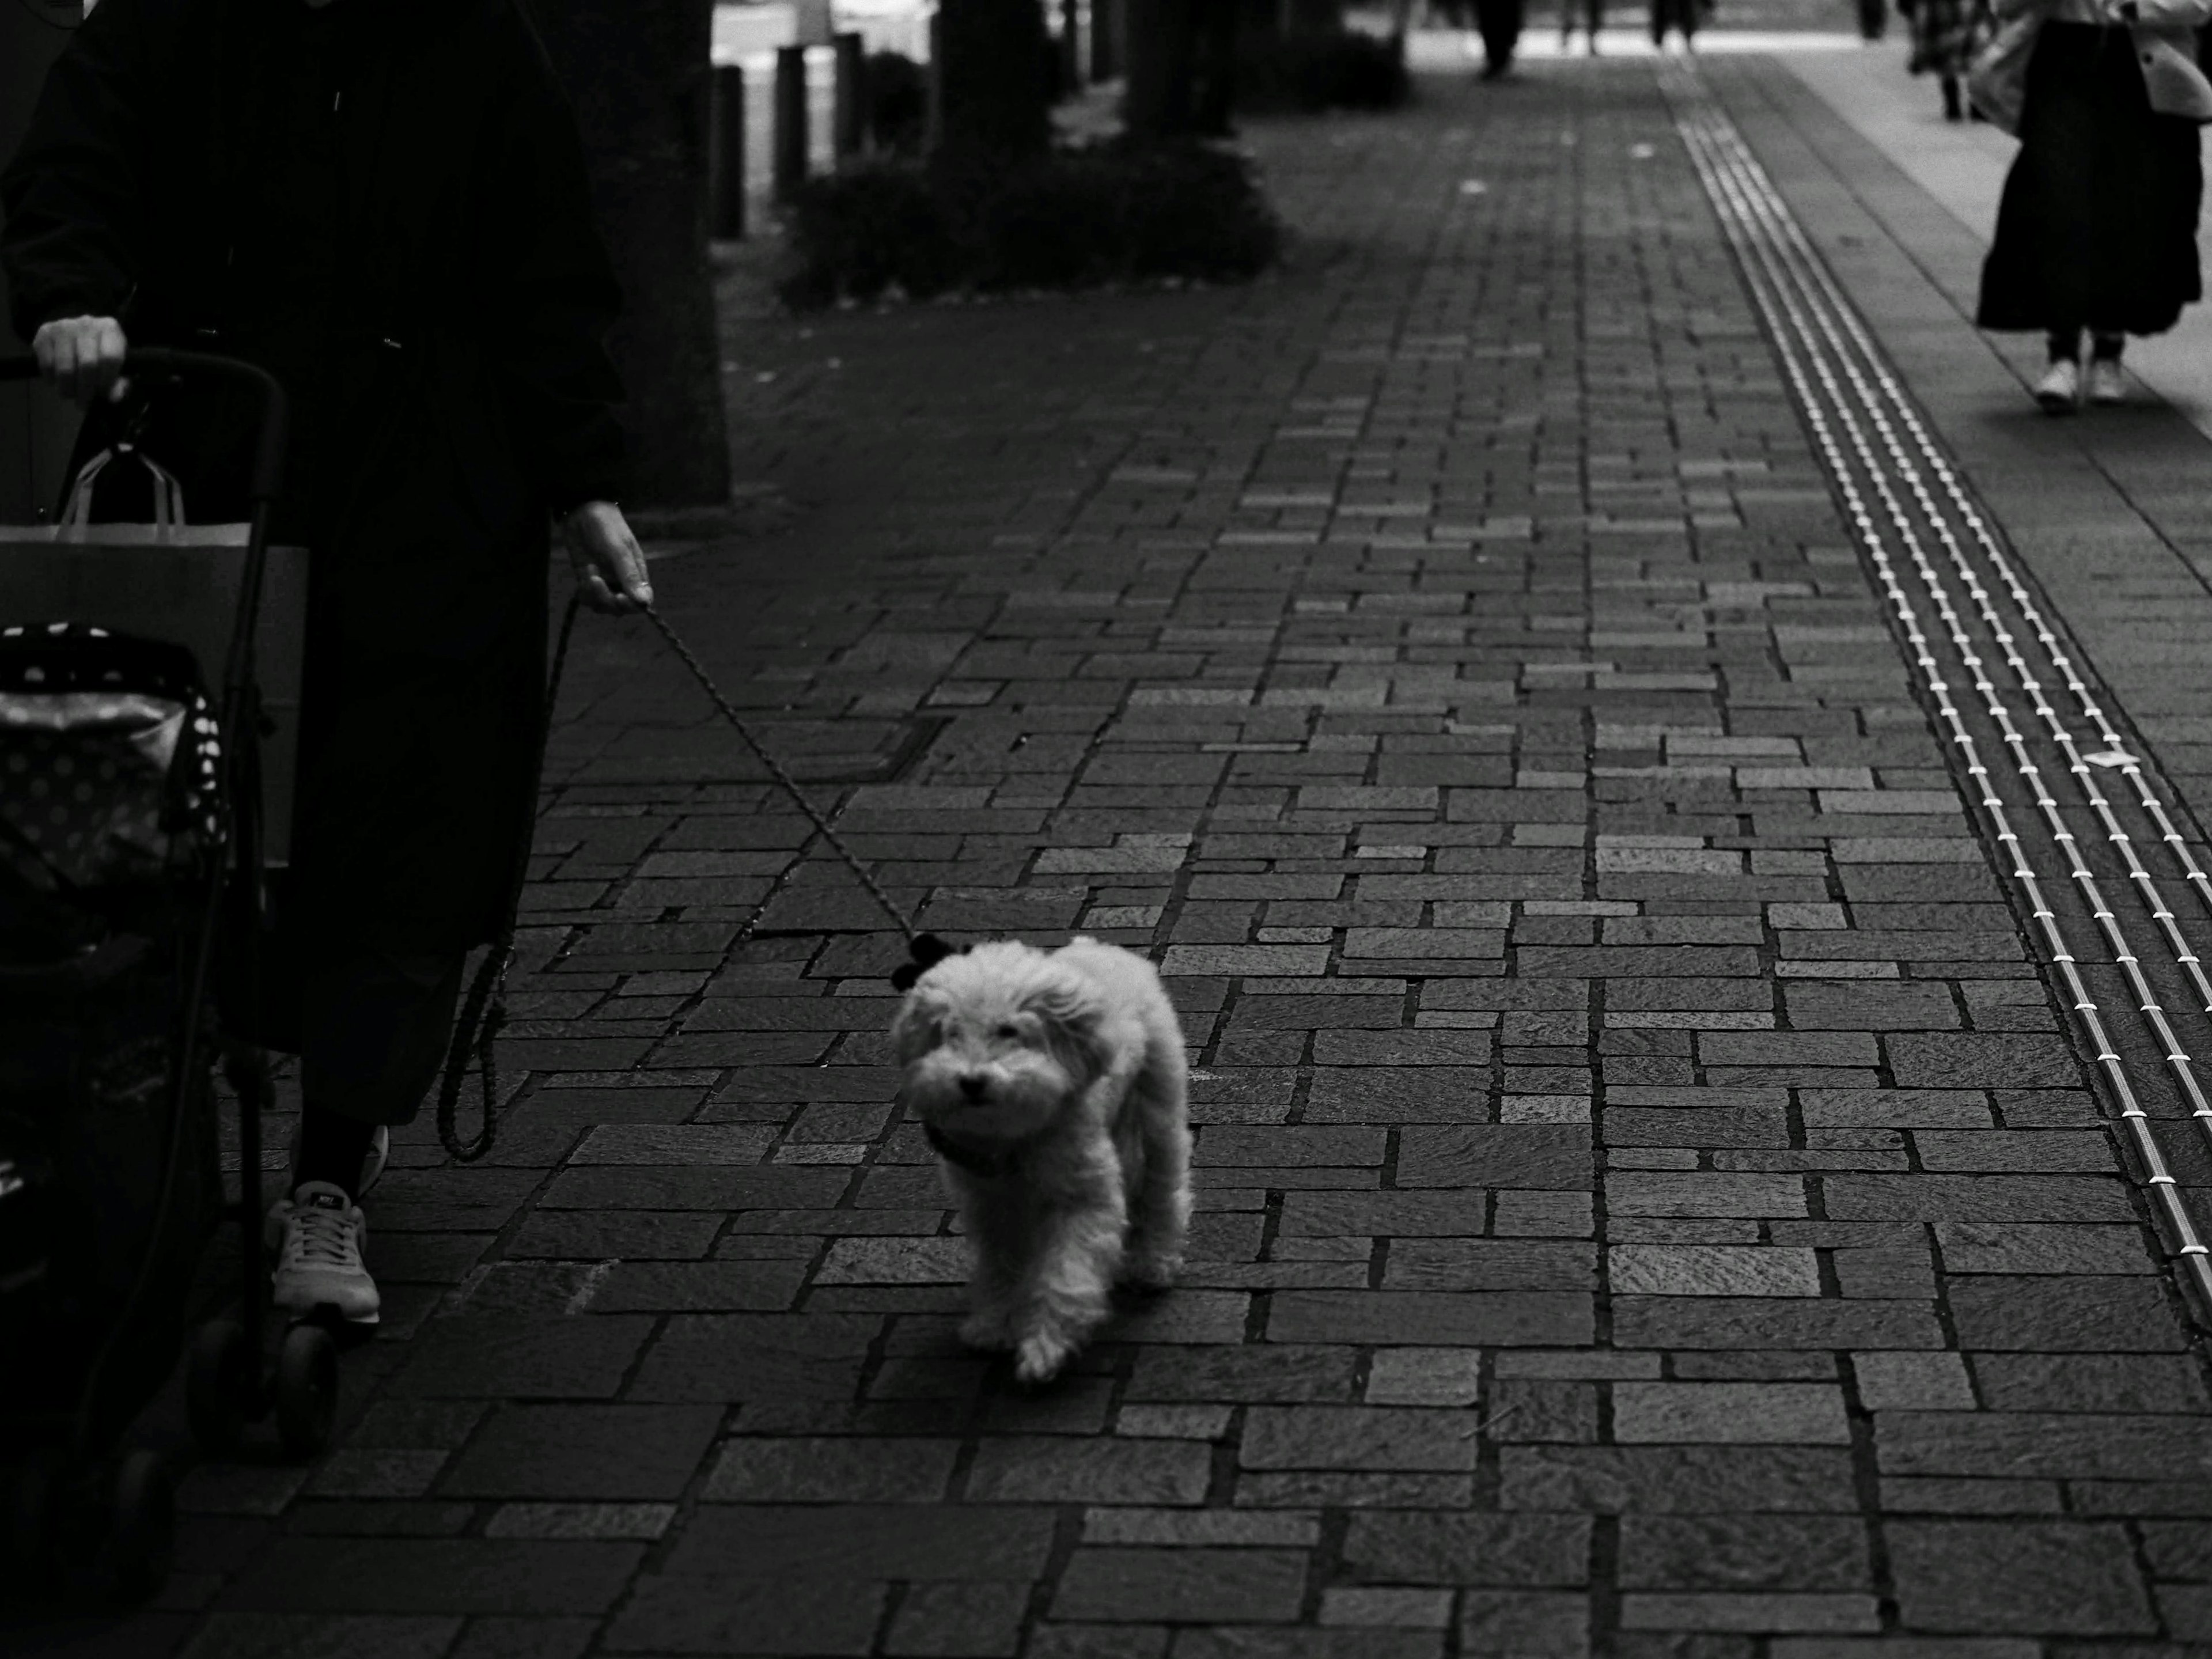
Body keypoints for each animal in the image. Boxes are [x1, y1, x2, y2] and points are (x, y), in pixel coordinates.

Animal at [889, 938, 1194, 1389]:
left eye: (1009, 1031)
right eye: (950, 1033)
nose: (971, 1082)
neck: (1013, 1137)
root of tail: (1104, 950)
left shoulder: (1080, 1198)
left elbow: (1066, 1273)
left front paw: (1046, 1347)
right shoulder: (992, 1205)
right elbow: (1002, 1266)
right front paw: (996, 1324)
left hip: (1154, 1106)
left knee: (1161, 1187)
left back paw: (1152, 1263)